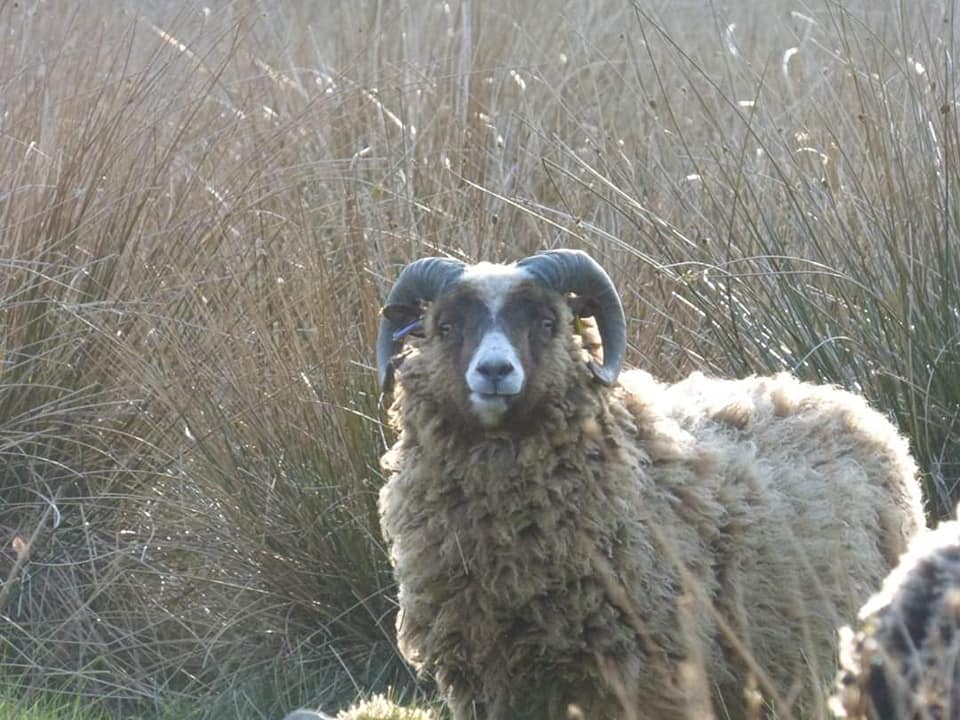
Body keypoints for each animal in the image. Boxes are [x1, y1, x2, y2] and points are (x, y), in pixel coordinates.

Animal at [374, 249, 924, 720]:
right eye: (445, 327)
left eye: (548, 324)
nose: (493, 371)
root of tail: (854, 406)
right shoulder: (491, 680)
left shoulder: (645, 672)